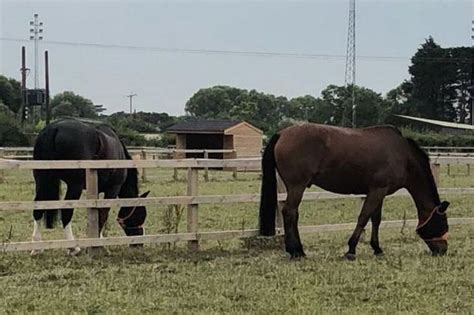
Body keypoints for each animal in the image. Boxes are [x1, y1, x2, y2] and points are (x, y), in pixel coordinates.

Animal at [31, 119, 149, 256]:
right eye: (140, 214)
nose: (139, 243)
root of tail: (54, 129)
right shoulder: (113, 188)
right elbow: (103, 215)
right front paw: (98, 244)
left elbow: (96, 214)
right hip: (75, 185)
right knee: (66, 212)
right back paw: (73, 248)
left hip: (42, 180)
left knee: (38, 209)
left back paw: (37, 247)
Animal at [260, 124, 448, 260]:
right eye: (443, 223)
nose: (443, 250)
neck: (402, 155)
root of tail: (282, 134)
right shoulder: (377, 191)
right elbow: (364, 217)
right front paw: (351, 250)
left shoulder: (379, 191)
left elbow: (376, 219)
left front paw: (377, 248)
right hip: (297, 186)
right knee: (290, 212)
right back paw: (296, 251)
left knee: (293, 214)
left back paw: (297, 250)